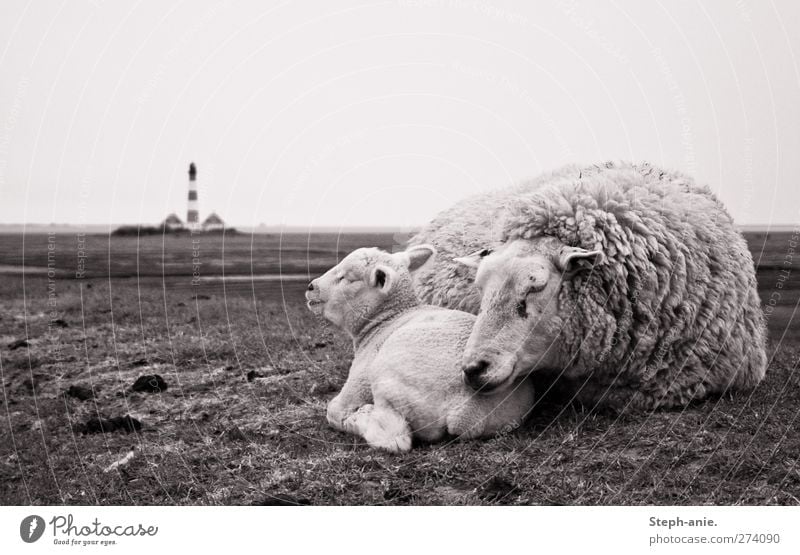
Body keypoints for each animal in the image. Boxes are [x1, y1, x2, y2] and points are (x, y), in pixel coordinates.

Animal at [304, 244, 536, 452]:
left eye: (346, 278)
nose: (310, 287)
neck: (385, 320)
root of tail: (465, 410)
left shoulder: (359, 381)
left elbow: (333, 410)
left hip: (387, 374)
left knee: (394, 437)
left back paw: (367, 416)